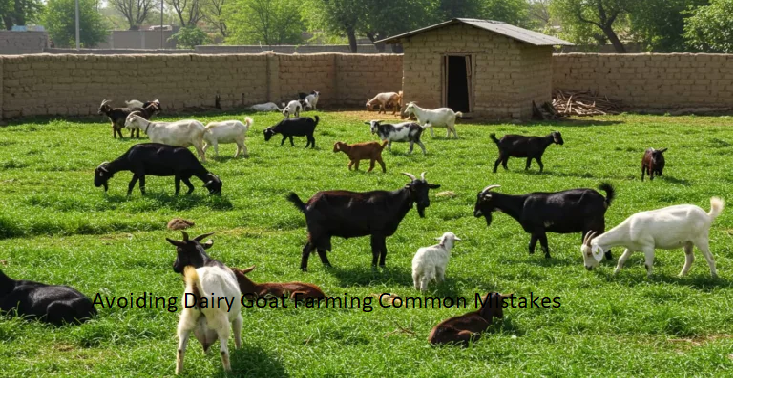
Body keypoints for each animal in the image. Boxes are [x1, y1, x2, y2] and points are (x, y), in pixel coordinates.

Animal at [286, 172, 440, 271]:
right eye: (414, 189)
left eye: (427, 189)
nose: (426, 203)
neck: (391, 202)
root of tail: (306, 204)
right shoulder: (376, 231)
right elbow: (376, 251)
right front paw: (373, 268)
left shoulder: (382, 233)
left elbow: (384, 250)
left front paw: (383, 266)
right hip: (316, 230)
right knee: (308, 248)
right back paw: (303, 269)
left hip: (325, 232)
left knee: (320, 250)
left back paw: (329, 267)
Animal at [474, 183, 615, 260]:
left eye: (482, 200)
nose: (475, 213)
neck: (521, 204)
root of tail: (603, 199)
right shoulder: (534, 231)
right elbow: (531, 245)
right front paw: (530, 257)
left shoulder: (539, 228)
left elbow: (544, 245)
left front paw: (548, 259)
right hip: (600, 224)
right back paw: (608, 258)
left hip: (590, 225)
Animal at [581, 197, 725, 278]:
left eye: (589, 253)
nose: (587, 268)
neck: (629, 228)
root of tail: (707, 215)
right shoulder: (631, 247)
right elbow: (621, 260)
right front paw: (615, 273)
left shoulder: (648, 245)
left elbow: (647, 264)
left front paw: (650, 279)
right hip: (688, 242)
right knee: (690, 258)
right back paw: (681, 275)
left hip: (700, 238)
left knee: (710, 258)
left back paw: (714, 277)